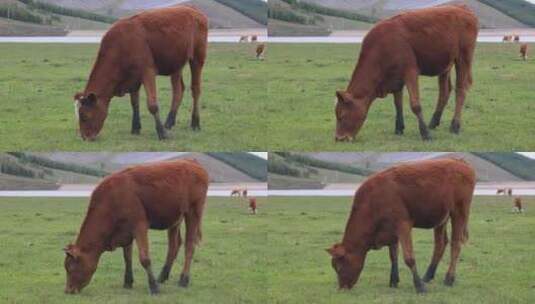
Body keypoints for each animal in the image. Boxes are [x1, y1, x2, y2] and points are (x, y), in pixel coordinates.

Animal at [63, 159, 210, 294]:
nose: (68, 290)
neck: (113, 198)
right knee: (174, 245)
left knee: (189, 245)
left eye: (70, 267)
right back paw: (162, 277)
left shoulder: (139, 226)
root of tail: (192, 162)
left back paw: (183, 280)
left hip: (193, 212)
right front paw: (128, 282)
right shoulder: (126, 231)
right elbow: (127, 257)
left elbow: (144, 258)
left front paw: (153, 287)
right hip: (175, 220)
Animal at [74, 5, 208, 141]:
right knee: (178, 90)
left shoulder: (147, 71)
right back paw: (169, 122)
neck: (122, 44)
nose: (85, 137)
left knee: (195, 89)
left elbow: (152, 105)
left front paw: (161, 133)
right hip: (176, 65)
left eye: (84, 116)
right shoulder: (134, 77)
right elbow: (134, 103)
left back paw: (195, 123)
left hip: (197, 58)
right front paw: (135, 128)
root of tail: (191, 8)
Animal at [328, 159, 476, 294]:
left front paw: (419, 286)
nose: (342, 288)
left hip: (459, 213)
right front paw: (394, 281)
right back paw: (427, 276)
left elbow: (409, 258)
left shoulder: (403, 226)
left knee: (455, 244)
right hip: (441, 219)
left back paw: (449, 278)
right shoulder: (391, 231)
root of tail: (460, 162)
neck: (374, 200)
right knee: (440, 244)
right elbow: (393, 256)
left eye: (339, 267)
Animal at [336, 4, 478, 142]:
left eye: (342, 115)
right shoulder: (396, 78)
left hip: (463, 58)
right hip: (445, 65)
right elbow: (397, 103)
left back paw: (455, 126)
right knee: (445, 91)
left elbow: (415, 105)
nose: (339, 138)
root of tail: (462, 7)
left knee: (460, 90)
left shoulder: (410, 72)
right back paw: (433, 122)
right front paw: (399, 128)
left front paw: (425, 134)